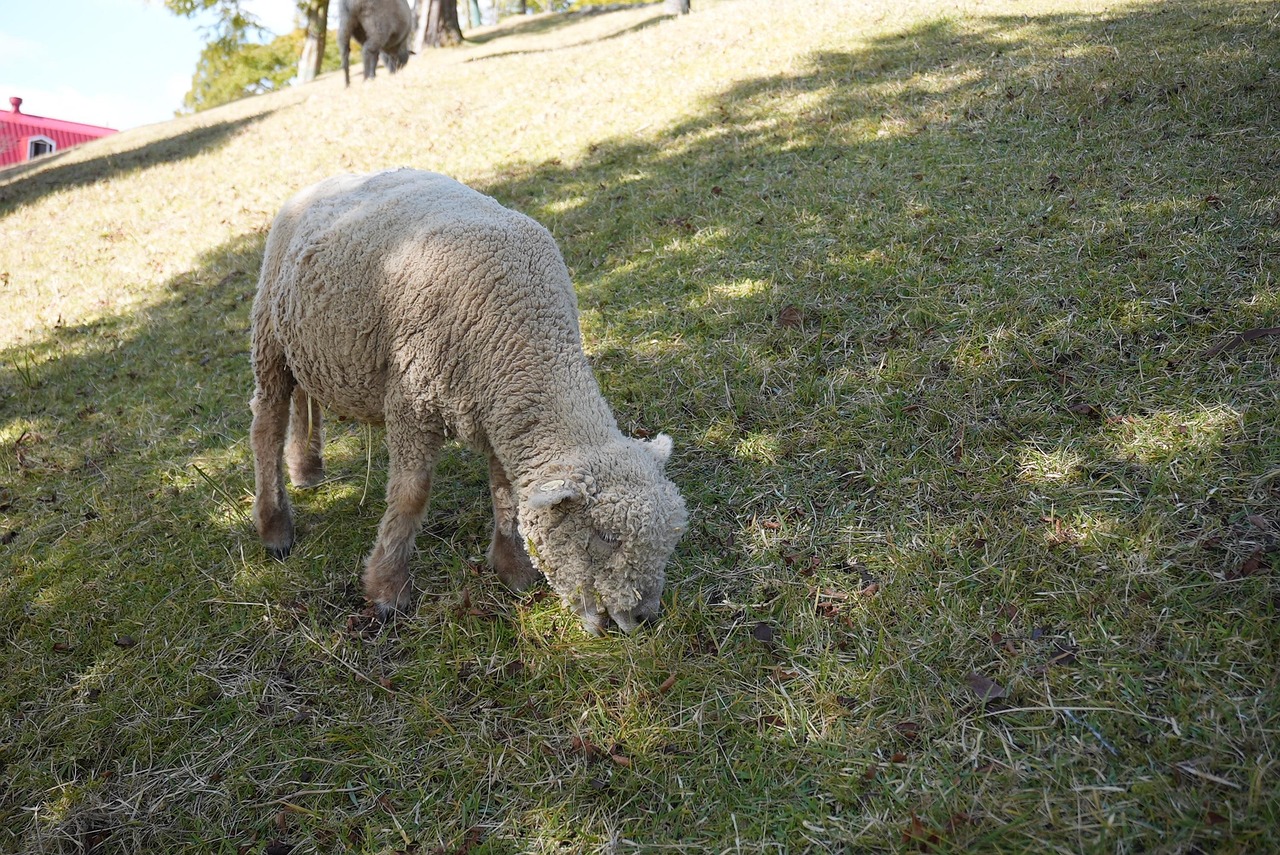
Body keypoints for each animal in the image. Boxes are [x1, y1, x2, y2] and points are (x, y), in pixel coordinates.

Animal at [249, 169, 688, 635]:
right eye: (605, 538)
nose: (643, 617)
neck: (524, 334)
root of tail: (325, 181)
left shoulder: (502, 412)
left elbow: (505, 491)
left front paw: (513, 569)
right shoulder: (412, 400)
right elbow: (411, 494)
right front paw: (387, 591)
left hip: (308, 344)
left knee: (305, 398)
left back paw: (306, 470)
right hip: (269, 335)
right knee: (267, 425)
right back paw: (275, 528)